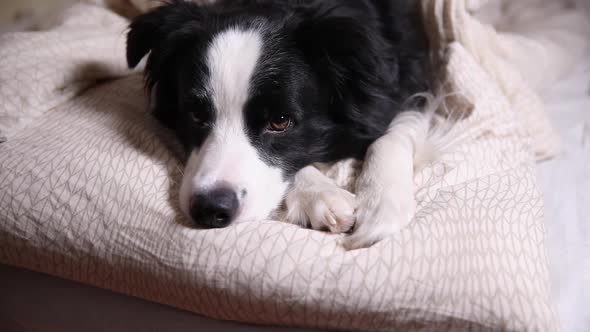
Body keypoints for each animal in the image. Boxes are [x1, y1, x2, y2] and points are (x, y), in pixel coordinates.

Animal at [127, 0, 434, 249]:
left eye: (280, 121)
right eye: (195, 115)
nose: (210, 210)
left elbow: (389, 136)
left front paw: (381, 208)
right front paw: (322, 194)